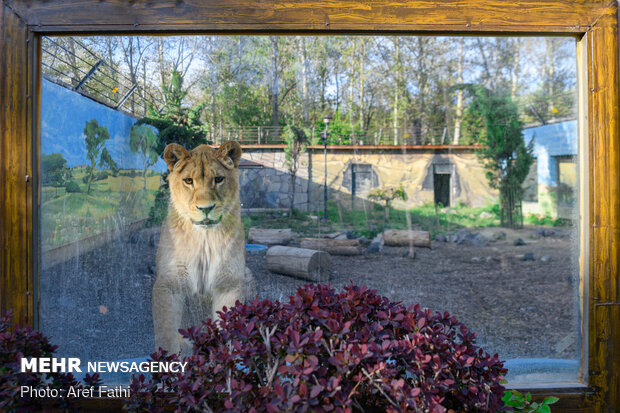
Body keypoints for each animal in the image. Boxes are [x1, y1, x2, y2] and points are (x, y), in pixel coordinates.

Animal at [153, 140, 254, 352]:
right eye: (188, 181)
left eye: (218, 179)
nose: (205, 208)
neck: (204, 239)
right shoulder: (168, 284)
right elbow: (166, 335)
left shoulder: (230, 284)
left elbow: (228, 329)